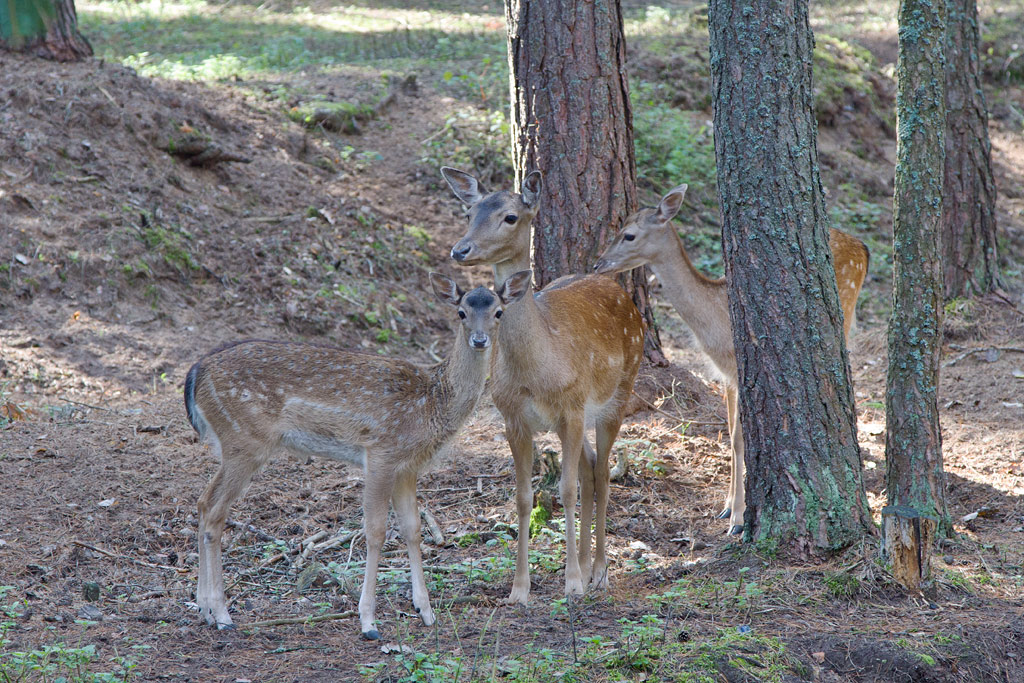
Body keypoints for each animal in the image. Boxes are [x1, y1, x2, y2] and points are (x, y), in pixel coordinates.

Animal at [182, 272, 520, 643]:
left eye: (499, 312)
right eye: (461, 312)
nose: (479, 340)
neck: (431, 404)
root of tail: (196, 371)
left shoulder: (408, 467)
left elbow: (413, 529)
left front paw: (426, 611)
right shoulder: (381, 452)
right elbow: (375, 531)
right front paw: (369, 621)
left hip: (232, 443)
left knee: (202, 502)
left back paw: (203, 609)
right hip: (245, 440)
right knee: (215, 510)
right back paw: (222, 614)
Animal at [442, 165, 647, 602]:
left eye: (510, 217)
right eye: (469, 212)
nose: (461, 250)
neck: (535, 370)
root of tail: (617, 287)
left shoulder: (572, 407)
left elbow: (566, 490)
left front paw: (571, 583)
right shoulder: (513, 418)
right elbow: (524, 497)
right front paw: (520, 589)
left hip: (618, 393)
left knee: (602, 476)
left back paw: (598, 572)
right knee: (589, 468)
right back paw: (585, 564)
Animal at [593, 184, 872, 536]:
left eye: (629, 235)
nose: (598, 264)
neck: (714, 325)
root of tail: (863, 247)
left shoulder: (740, 370)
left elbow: (741, 439)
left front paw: (738, 518)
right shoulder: (724, 373)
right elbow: (729, 433)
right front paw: (727, 506)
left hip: (845, 312)